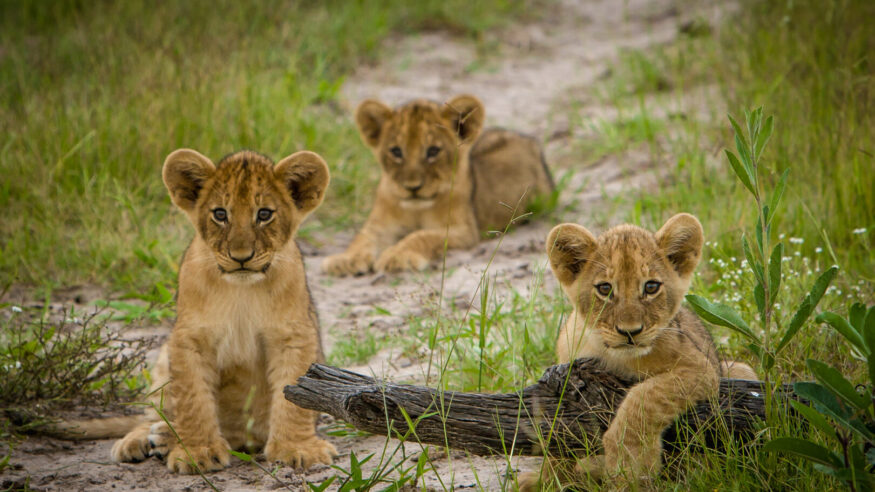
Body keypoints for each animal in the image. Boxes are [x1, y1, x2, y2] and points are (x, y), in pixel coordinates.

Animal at [54, 149, 337, 474]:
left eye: (264, 214)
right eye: (220, 214)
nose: (241, 257)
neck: (241, 290)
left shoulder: (294, 335)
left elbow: (294, 397)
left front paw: (299, 448)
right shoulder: (189, 338)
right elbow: (193, 399)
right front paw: (197, 452)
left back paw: (164, 438)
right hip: (163, 362)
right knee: (154, 414)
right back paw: (145, 439)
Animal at [321, 94, 555, 275]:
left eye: (433, 151)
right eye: (396, 151)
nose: (412, 187)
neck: (415, 209)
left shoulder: (462, 230)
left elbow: (422, 235)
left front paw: (397, 255)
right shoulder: (378, 226)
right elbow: (361, 239)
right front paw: (345, 260)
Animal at [520, 213, 756, 490]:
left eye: (651, 286)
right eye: (605, 289)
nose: (630, 332)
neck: (613, 356)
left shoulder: (699, 368)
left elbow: (644, 397)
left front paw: (631, 463)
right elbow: (558, 443)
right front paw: (545, 479)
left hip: (743, 370)